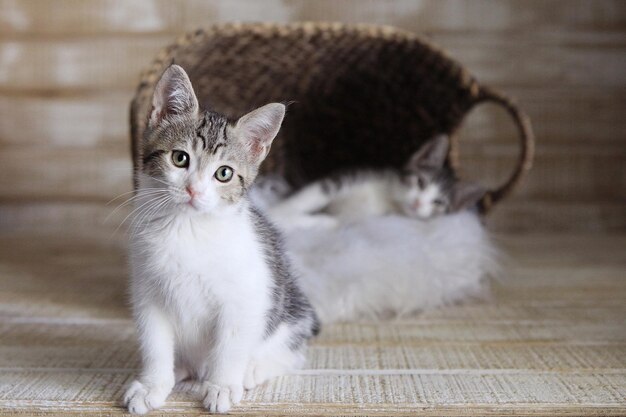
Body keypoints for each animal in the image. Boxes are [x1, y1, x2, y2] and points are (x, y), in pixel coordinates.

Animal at [123, 65, 316, 412]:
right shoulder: (147, 292)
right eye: (180, 158)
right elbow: (154, 343)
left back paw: (253, 368)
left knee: (292, 351)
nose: (193, 190)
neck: (186, 228)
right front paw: (152, 385)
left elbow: (230, 345)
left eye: (223, 173)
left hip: (292, 309)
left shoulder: (245, 295)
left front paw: (223, 385)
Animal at [266, 134, 486, 228]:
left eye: (438, 203)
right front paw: (276, 213)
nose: (417, 203)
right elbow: (312, 194)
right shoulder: (349, 177)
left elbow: (334, 222)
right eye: (421, 182)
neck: (389, 199)